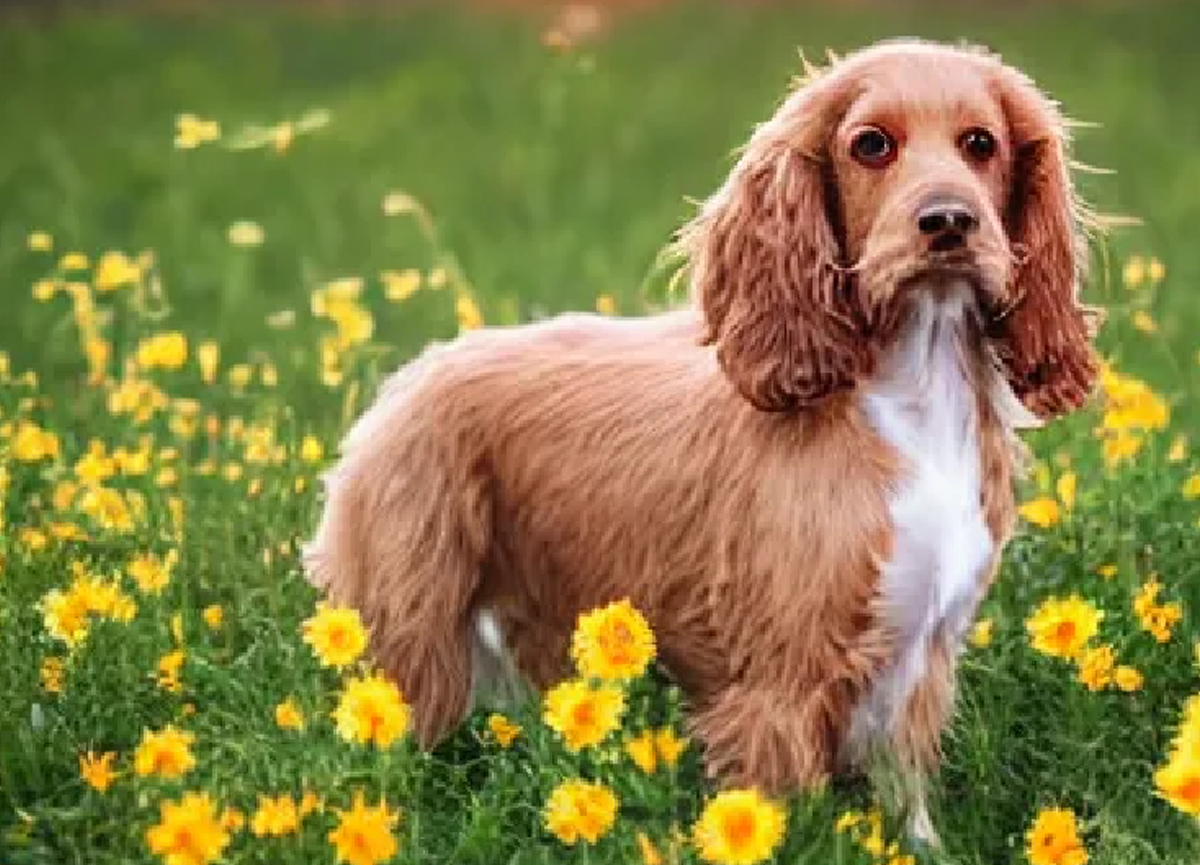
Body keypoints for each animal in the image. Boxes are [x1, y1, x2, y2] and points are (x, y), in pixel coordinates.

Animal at [302, 37, 1104, 839]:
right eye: (871, 144)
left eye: (982, 144)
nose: (949, 221)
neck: (907, 396)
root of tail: (400, 387)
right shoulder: (778, 681)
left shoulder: (918, 657)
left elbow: (908, 804)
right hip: (414, 638)